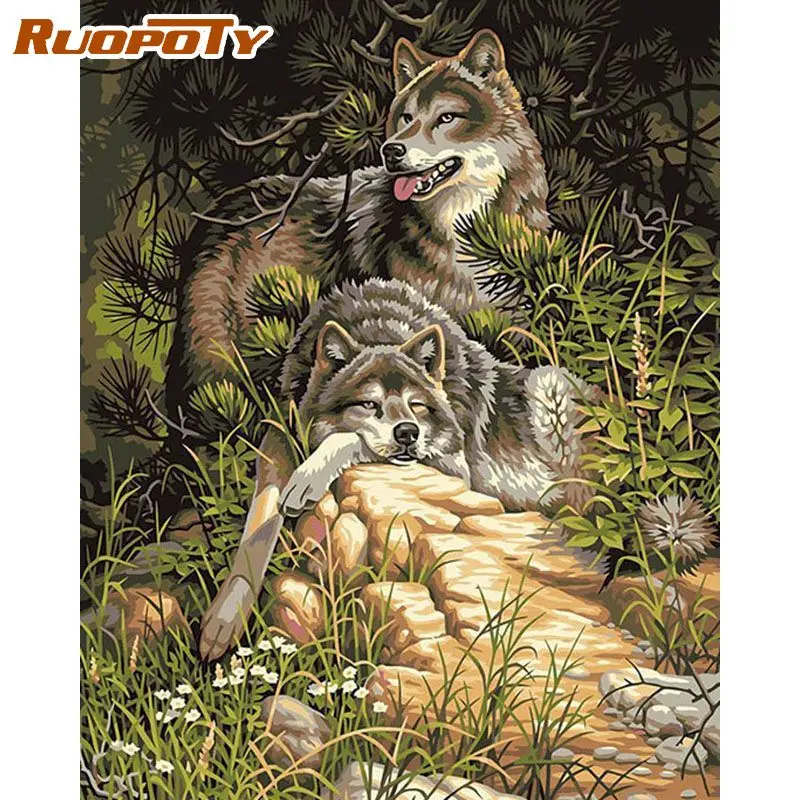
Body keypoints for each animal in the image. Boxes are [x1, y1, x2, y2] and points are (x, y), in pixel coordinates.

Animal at [199, 279, 590, 660]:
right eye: (369, 404)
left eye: (416, 406)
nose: (407, 433)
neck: (379, 327)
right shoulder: (279, 436)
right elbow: (259, 523)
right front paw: (223, 620)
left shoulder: (453, 466)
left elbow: (350, 439)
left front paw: (310, 477)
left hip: (548, 385)